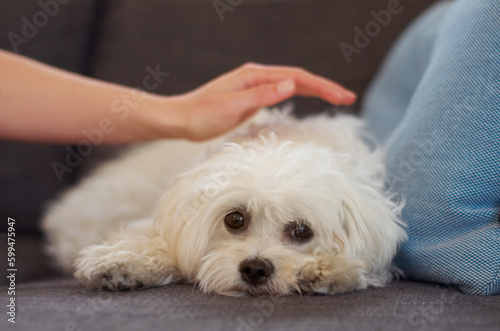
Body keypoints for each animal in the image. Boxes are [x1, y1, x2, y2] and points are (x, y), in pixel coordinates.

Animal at [40, 110, 406, 296]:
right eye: (235, 219)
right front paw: (120, 262)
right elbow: (156, 242)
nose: (255, 268)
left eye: (302, 231)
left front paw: (325, 270)